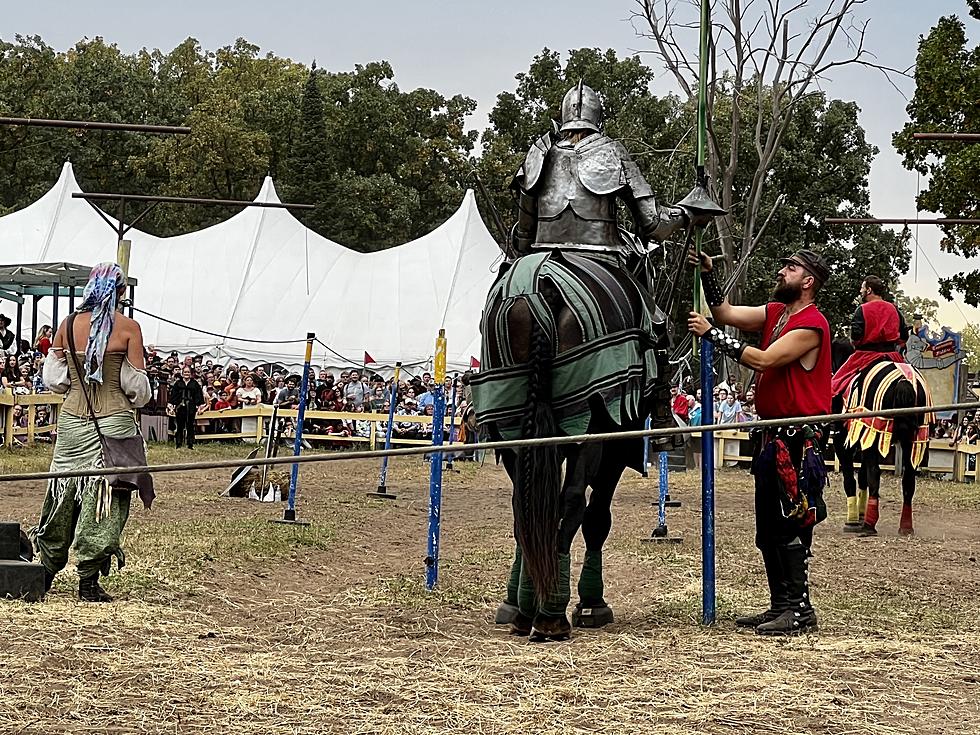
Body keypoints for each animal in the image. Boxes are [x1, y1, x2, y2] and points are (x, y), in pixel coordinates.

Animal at [836, 342, 936, 536]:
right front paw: (860, 514)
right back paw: (905, 526)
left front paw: (853, 520)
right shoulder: (864, 437)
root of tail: (905, 381)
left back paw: (869, 525)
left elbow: (852, 478)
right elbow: (862, 476)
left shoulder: (846, 440)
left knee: (874, 474)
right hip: (913, 439)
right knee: (908, 479)